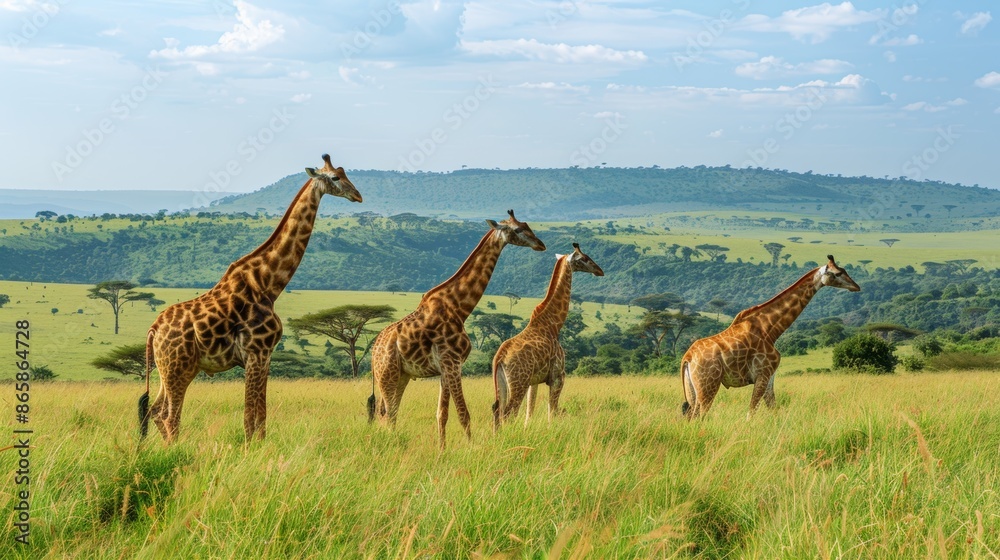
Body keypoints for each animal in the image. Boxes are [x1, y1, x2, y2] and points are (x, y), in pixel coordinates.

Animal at [139, 154, 362, 443]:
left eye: (345, 173)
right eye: (335, 177)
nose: (357, 195)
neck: (268, 284)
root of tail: (153, 330)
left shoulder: (265, 356)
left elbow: (261, 415)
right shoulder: (256, 352)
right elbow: (250, 417)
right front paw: (249, 449)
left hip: (167, 369)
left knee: (155, 410)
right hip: (179, 367)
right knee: (169, 415)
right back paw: (175, 450)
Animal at [369, 210, 546, 449]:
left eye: (527, 224)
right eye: (518, 229)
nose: (540, 244)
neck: (459, 308)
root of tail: (373, 353)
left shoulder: (445, 368)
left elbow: (441, 414)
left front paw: (442, 449)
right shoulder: (453, 363)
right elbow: (463, 413)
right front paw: (471, 447)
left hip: (402, 375)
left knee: (391, 412)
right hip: (387, 373)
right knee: (386, 413)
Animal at [492, 243, 603, 431]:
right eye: (584, 258)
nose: (599, 270)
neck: (553, 324)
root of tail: (499, 358)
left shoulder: (535, 380)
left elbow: (530, 411)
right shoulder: (558, 376)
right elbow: (553, 410)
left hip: (503, 384)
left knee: (497, 411)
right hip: (518, 382)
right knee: (508, 413)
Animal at [681, 255, 860, 419]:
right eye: (837, 273)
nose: (856, 286)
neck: (770, 330)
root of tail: (687, 358)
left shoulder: (770, 377)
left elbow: (774, 410)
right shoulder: (763, 374)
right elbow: (751, 413)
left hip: (692, 391)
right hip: (708, 386)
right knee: (698, 417)